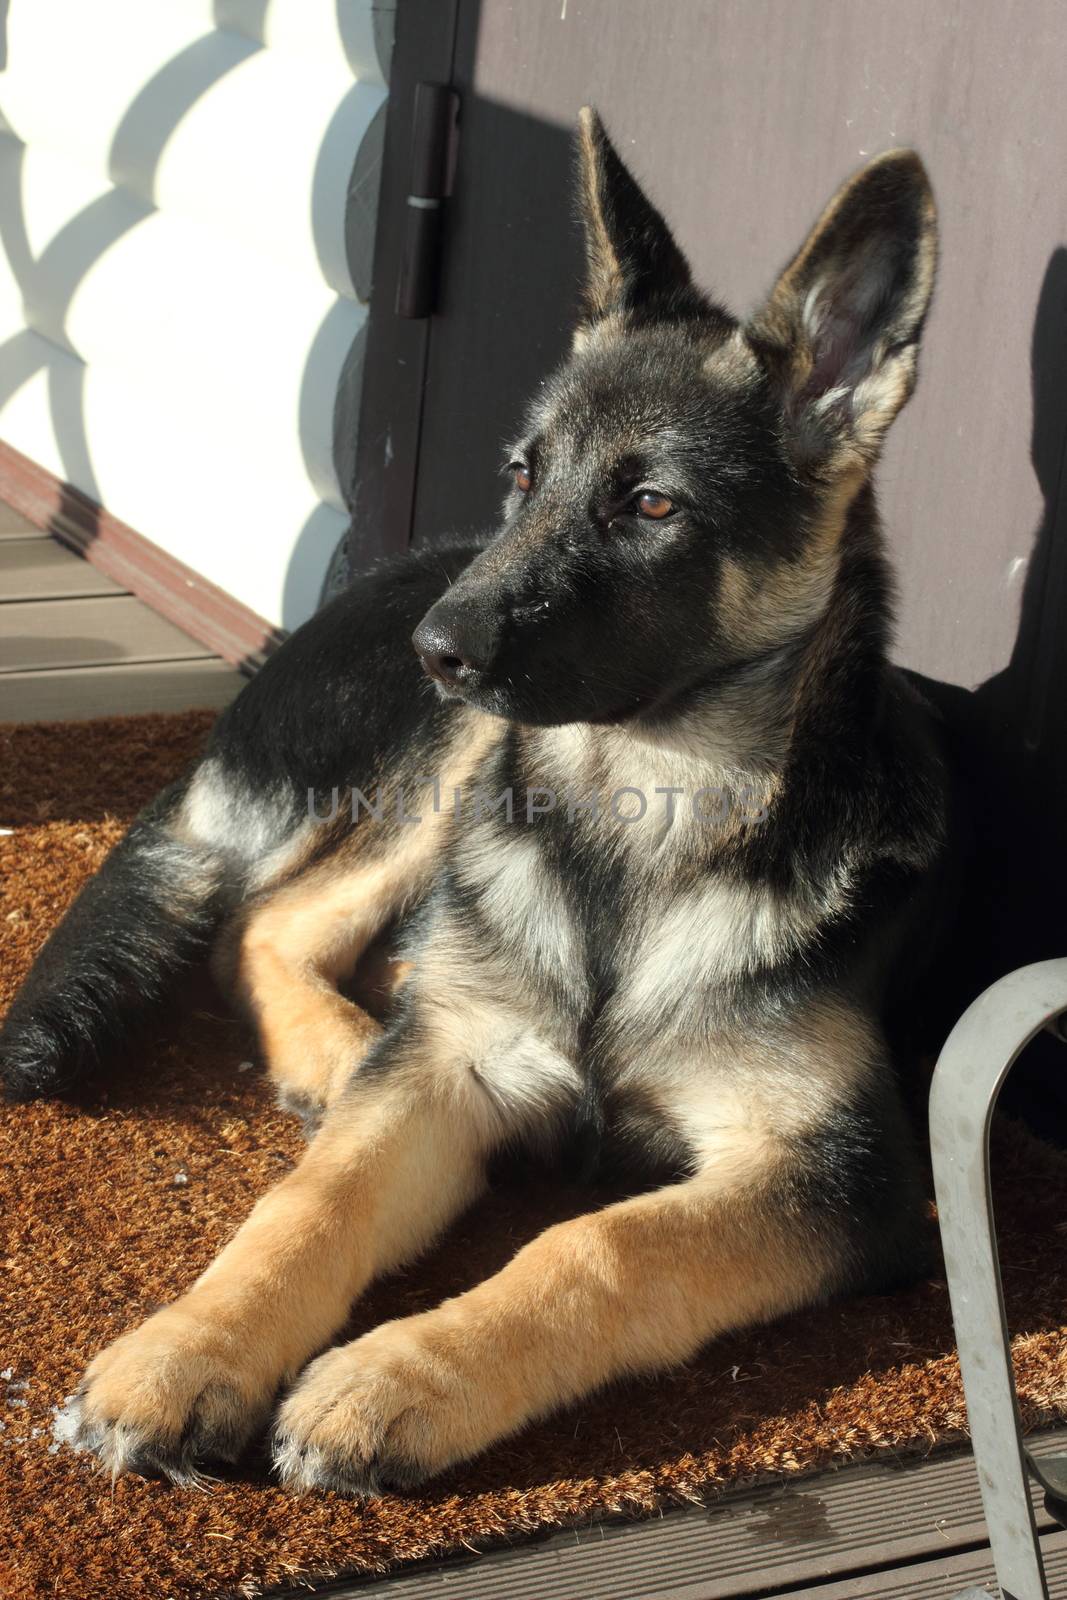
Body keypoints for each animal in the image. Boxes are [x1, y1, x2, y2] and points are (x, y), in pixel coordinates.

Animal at [4, 116, 947, 1497]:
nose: (434, 649)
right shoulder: (444, 1068)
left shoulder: (840, 1176)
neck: (638, 825)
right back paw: (342, 1054)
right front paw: (189, 1349)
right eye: (521, 476)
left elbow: (601, 1243)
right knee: (273, 924)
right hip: (460, 764)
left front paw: (401, 1375)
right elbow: (312, 1202)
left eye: (650, 504)